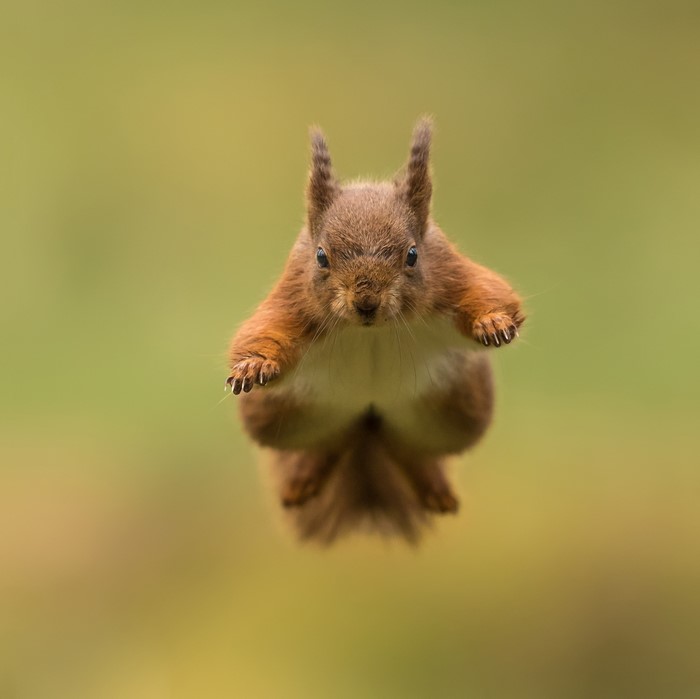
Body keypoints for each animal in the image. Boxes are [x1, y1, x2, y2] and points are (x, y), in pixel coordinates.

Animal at [225, 118, 525, 544]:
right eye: (321, 256)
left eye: (413, 254)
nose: (366, 302)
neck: (370, 331)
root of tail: (367, 419)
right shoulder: (292, 298)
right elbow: (263, 331)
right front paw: (254, 365)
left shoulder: (450, 272)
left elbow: (492, 293)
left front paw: (493, 322)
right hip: (277, 413)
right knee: (333, 440)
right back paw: (305, 478)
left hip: (459, 407)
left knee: (404, 447)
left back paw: (432, 488)